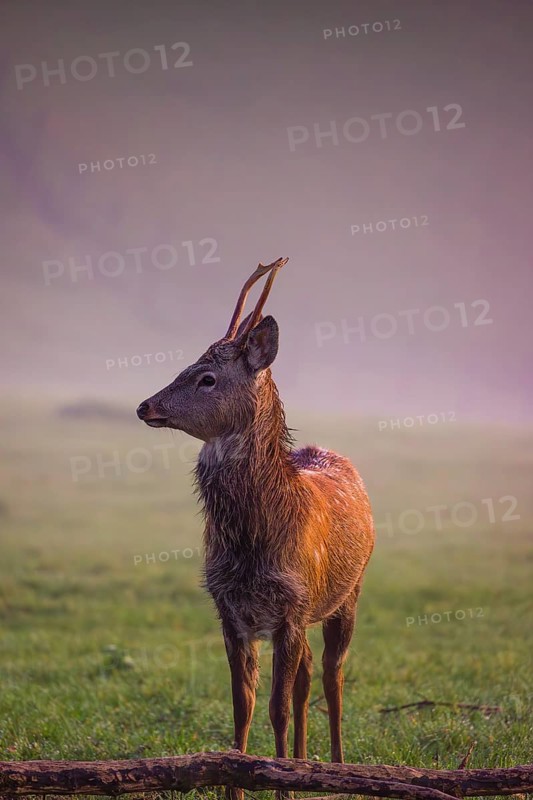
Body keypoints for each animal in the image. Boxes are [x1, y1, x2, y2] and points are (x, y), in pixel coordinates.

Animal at [136, 258, 375, 799]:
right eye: (182, 368)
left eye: (206, 378)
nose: (145, 405)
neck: (253, 542)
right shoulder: (231, 610)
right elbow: (242, 707)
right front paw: (241, 780)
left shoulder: (290, 606)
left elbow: (277, 709)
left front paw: (282, 780)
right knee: (307, 676)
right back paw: (308, 764)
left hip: (346, 594)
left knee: (332, 676)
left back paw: (336, 768)